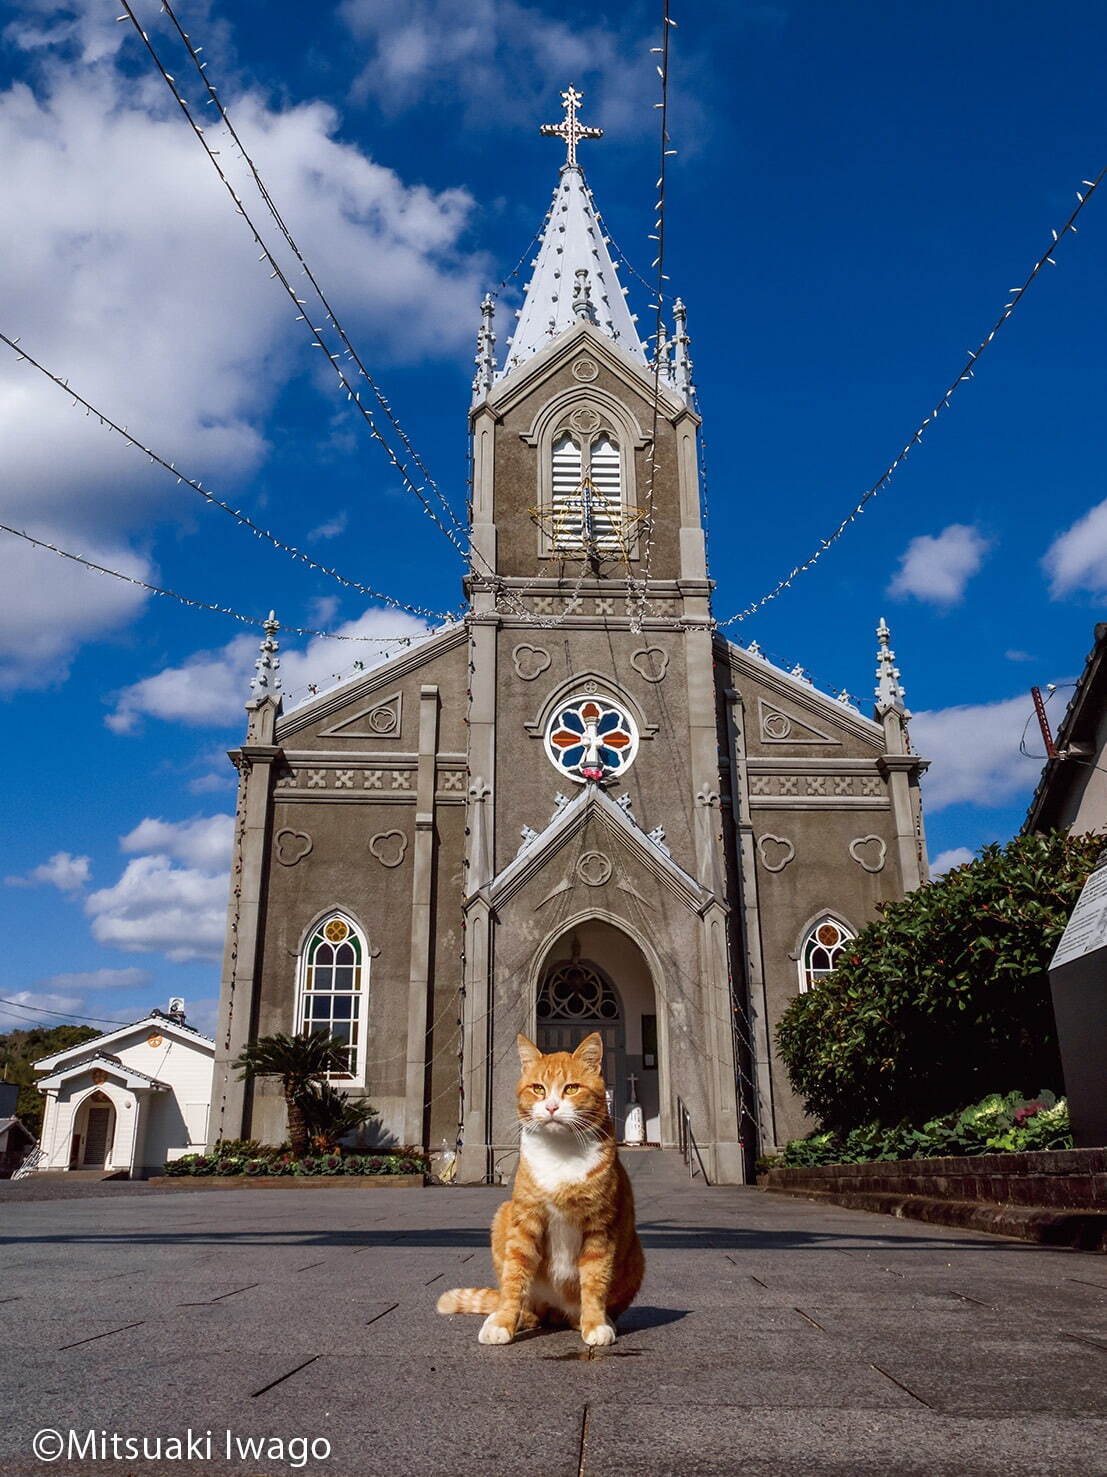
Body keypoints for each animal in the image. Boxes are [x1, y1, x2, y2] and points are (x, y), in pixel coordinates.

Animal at [437, 1033, 644, 1347]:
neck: (561, 1152)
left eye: (571, 1088)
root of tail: (555, 1312)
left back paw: (591, 1319)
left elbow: (595, 1280)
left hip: (636, 1254)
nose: (552, 1107)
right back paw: (516, 1317)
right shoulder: (525, 1221)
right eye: (538, 1088)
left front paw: (595, 1323)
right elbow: (514, 1277)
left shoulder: (600, 1227)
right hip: (503, 1216)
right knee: (526, 1306)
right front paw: (503, 1323)